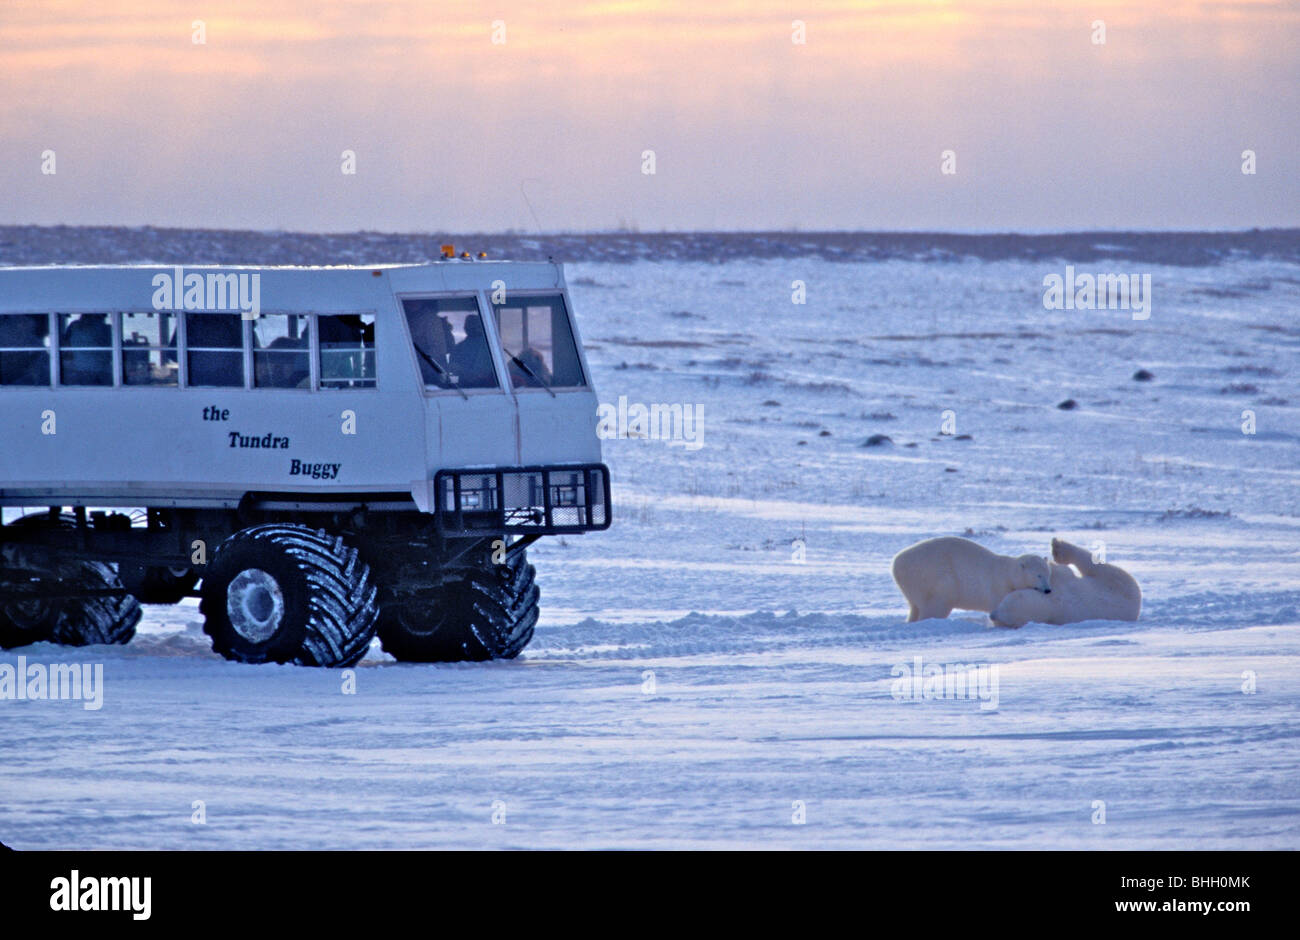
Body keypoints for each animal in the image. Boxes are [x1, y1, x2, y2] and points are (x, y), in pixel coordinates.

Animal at [889, 535, 1050, 624]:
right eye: (1038, 575)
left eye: (1047, 573)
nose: (1048, 590)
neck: (1007, 573)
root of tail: (896, 563)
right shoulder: (997, 586)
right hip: (932, 577)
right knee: (936, 604)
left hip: (912, 585)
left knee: (915, 606)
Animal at [987, 540, 1144, 629]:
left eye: (1005, 603)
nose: (992, 614)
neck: (1051, 602)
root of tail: (1136, 608)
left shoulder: (1062, 583)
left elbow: (1062, 571)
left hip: (1118, 587)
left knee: (1102, 568)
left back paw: (1059, 547)